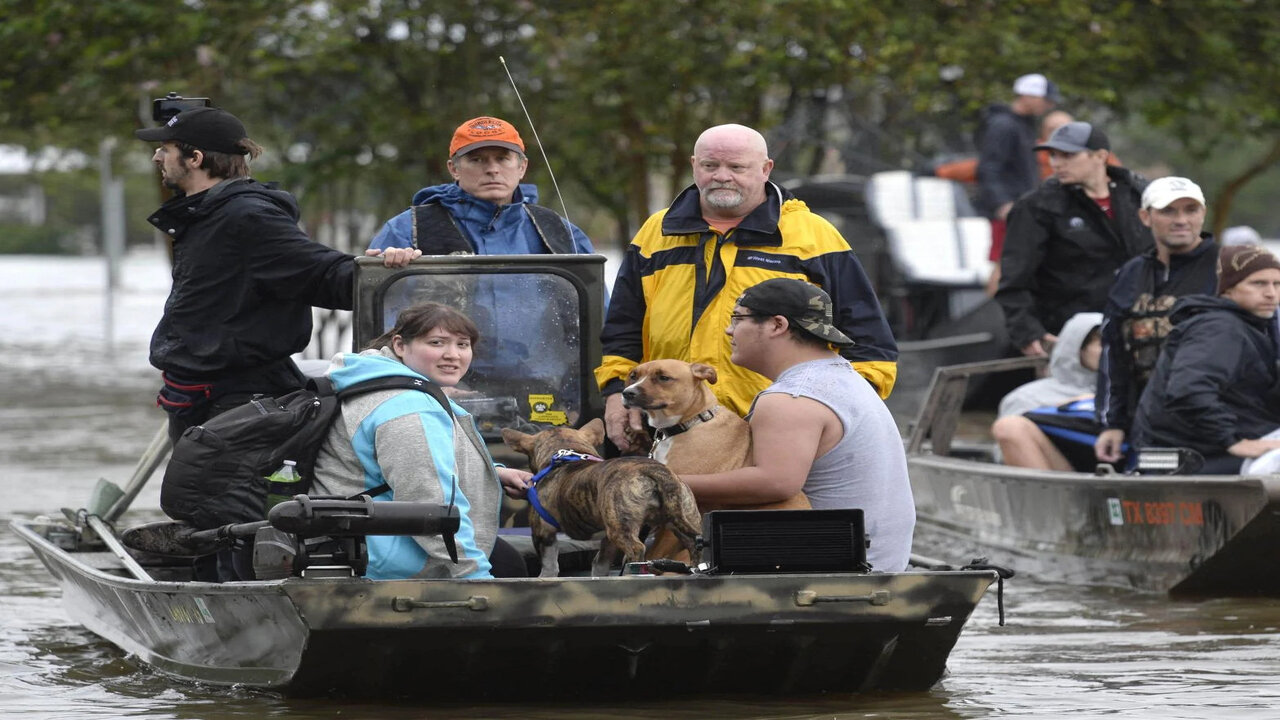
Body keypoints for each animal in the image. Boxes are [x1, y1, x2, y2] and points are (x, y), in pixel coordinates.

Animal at [499, 417, 701, 573]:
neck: (566, 454)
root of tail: (657, 472)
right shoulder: (607, 541)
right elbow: (600, 563)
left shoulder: (543, 533)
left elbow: (550, 565)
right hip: (684, 516)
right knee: (694, 543)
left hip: (620, 527)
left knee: (637, 549)